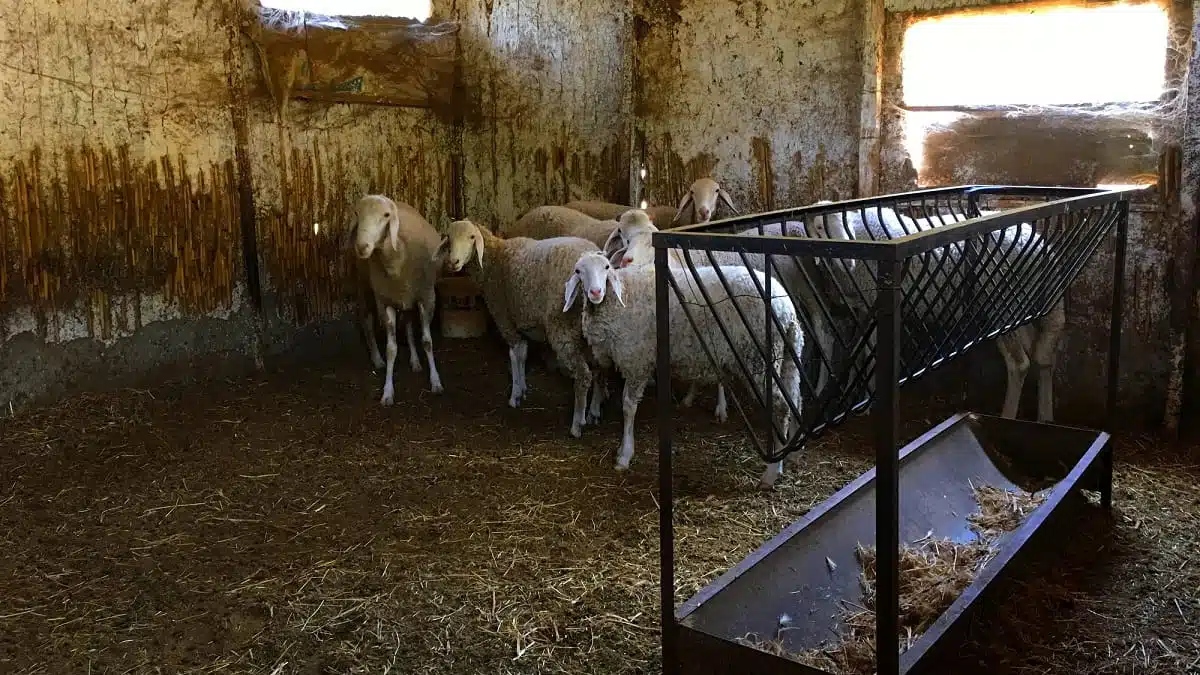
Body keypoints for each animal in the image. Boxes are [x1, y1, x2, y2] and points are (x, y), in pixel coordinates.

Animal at [352, 195, 445, 406]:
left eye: (386, 215)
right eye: (357, 213)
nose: (362, 247)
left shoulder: (426, 297)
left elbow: (427, 341)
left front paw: (435, 381)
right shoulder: (385, 302)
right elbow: (391, 348)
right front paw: (387, 391)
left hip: (407, 298)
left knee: (409, 326)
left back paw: (415, 361)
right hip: (363, 286)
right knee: (366, 321)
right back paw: (377, 360)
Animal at [436, 219, 606, 437]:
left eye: (472, 237)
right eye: (448, 238)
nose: (453, 262)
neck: (495, 260)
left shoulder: (505, 319)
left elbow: (514, 355)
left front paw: (515, 394)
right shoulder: (520, 320)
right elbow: (523, 354)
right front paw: (523, 388)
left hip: (562, 326)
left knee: (584, 375)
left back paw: (577, 424)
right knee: (600, 369)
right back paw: (594, 412)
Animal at [565, 251, 805, 489]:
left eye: (606, 267)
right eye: (578, 270)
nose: (595, 292)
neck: (620, 297)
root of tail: (787, 308)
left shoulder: (637, 361)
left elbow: (628, 408)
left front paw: (624, 455)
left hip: (759, 357)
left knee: (781, 407)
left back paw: (772, 472)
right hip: (787, 355)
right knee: (795, 398)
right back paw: (793, 452)